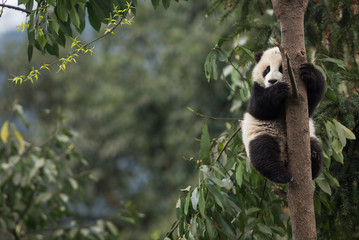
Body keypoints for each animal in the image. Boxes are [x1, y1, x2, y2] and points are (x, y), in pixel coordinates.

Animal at [242, 47, 326, 184]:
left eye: (282, 68)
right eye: (267, 69)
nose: (272, 81)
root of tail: (284, 158)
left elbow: (311, 103)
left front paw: (308, 72)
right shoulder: (256, 89)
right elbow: (259, 108)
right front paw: (279, 89)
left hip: (309, 137)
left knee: (315, 145)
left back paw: (313, 161)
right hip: (261, 134)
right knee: (264, 153)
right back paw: (282, 175)